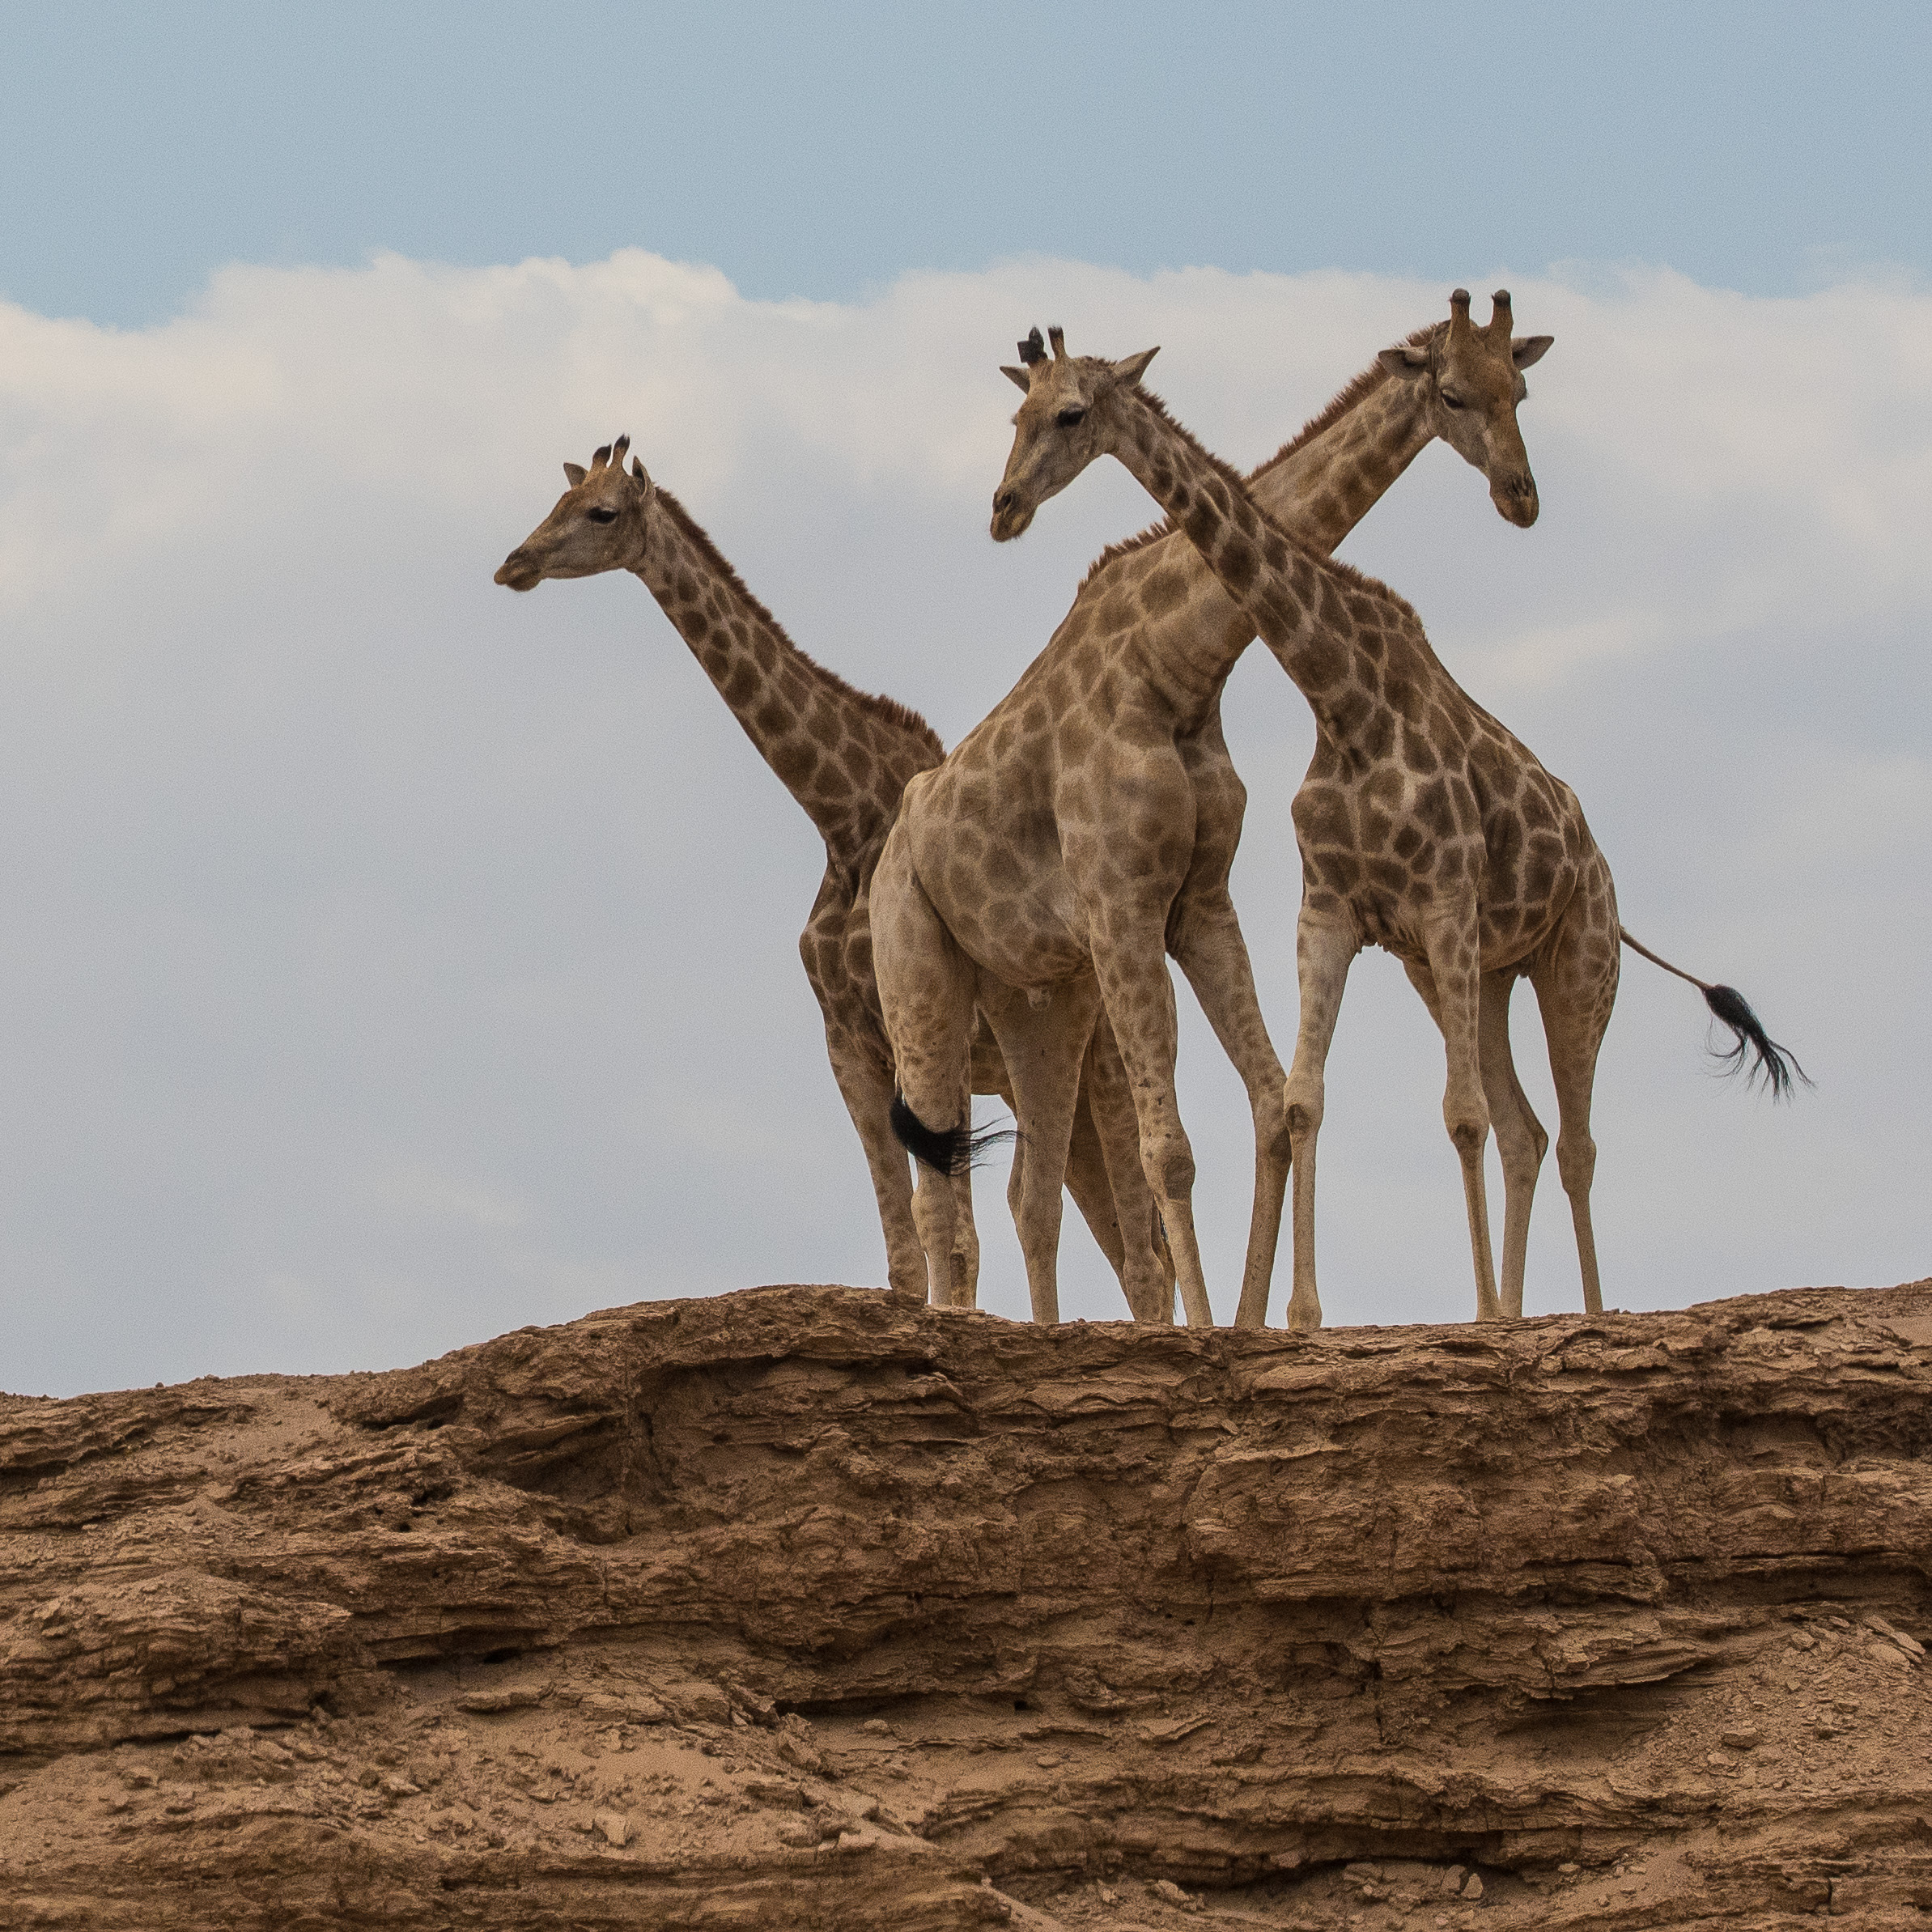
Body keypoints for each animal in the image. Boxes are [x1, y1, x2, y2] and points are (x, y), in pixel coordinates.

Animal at [493, 436, 1169, 1312]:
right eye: (557, 502)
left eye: (601, 512)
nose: (515, 562)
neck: (841, 817)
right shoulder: (847, 1044)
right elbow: (905, 1248)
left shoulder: (916, 1031)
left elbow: (951, 1234)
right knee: (1115, 1237)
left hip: (1104, 1061)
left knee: (1143, 1249)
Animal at [873, 291, 1560, 1326]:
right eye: (1449, 392)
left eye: (1515, 389)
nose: (1520, 496)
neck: (1179, 667)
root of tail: (883, 853)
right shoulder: (1123, 909)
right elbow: (1169, 1149)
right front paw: (1201, 1328)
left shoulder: (1197, 901)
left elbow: (1271, 1101)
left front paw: (1244, 1319)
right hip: (916, 970)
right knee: (939, 1199)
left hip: (1035, 997)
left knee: (1027, 1192)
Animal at [986, 315, 1804, 1330]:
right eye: (1020, 411)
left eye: (1072, 412)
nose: (1003, 505)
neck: (1343, 697)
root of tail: (1604, 881)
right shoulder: (1333, 912)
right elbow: (1305, 1099)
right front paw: (1303, 1317)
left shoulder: (1445, 903)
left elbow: (1456, 1113)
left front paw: (1476, 1309)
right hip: (1480, 974)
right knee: (1528, 1129)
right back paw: (1515, 1306)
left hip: (1573, 963)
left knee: (1575, 1141)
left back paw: (1578, 1311)